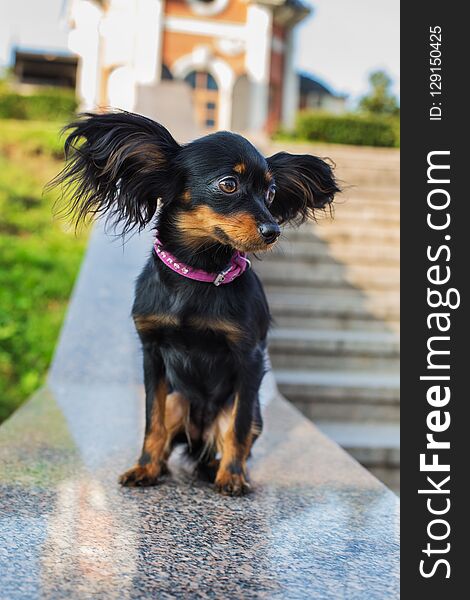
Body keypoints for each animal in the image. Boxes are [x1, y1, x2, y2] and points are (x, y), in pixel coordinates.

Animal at [52, 112, 338, 496]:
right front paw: (144, 467)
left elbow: (237, 429)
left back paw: (221, 468)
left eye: (271, 193)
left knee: (233, 435)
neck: (198, 272)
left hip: (248, 412)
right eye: (229, 184)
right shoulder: (152, 353)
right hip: (178, 400)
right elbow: (152, 422)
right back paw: (161, 465)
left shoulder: (248, 357)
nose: (273, 231)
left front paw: (232, 477)